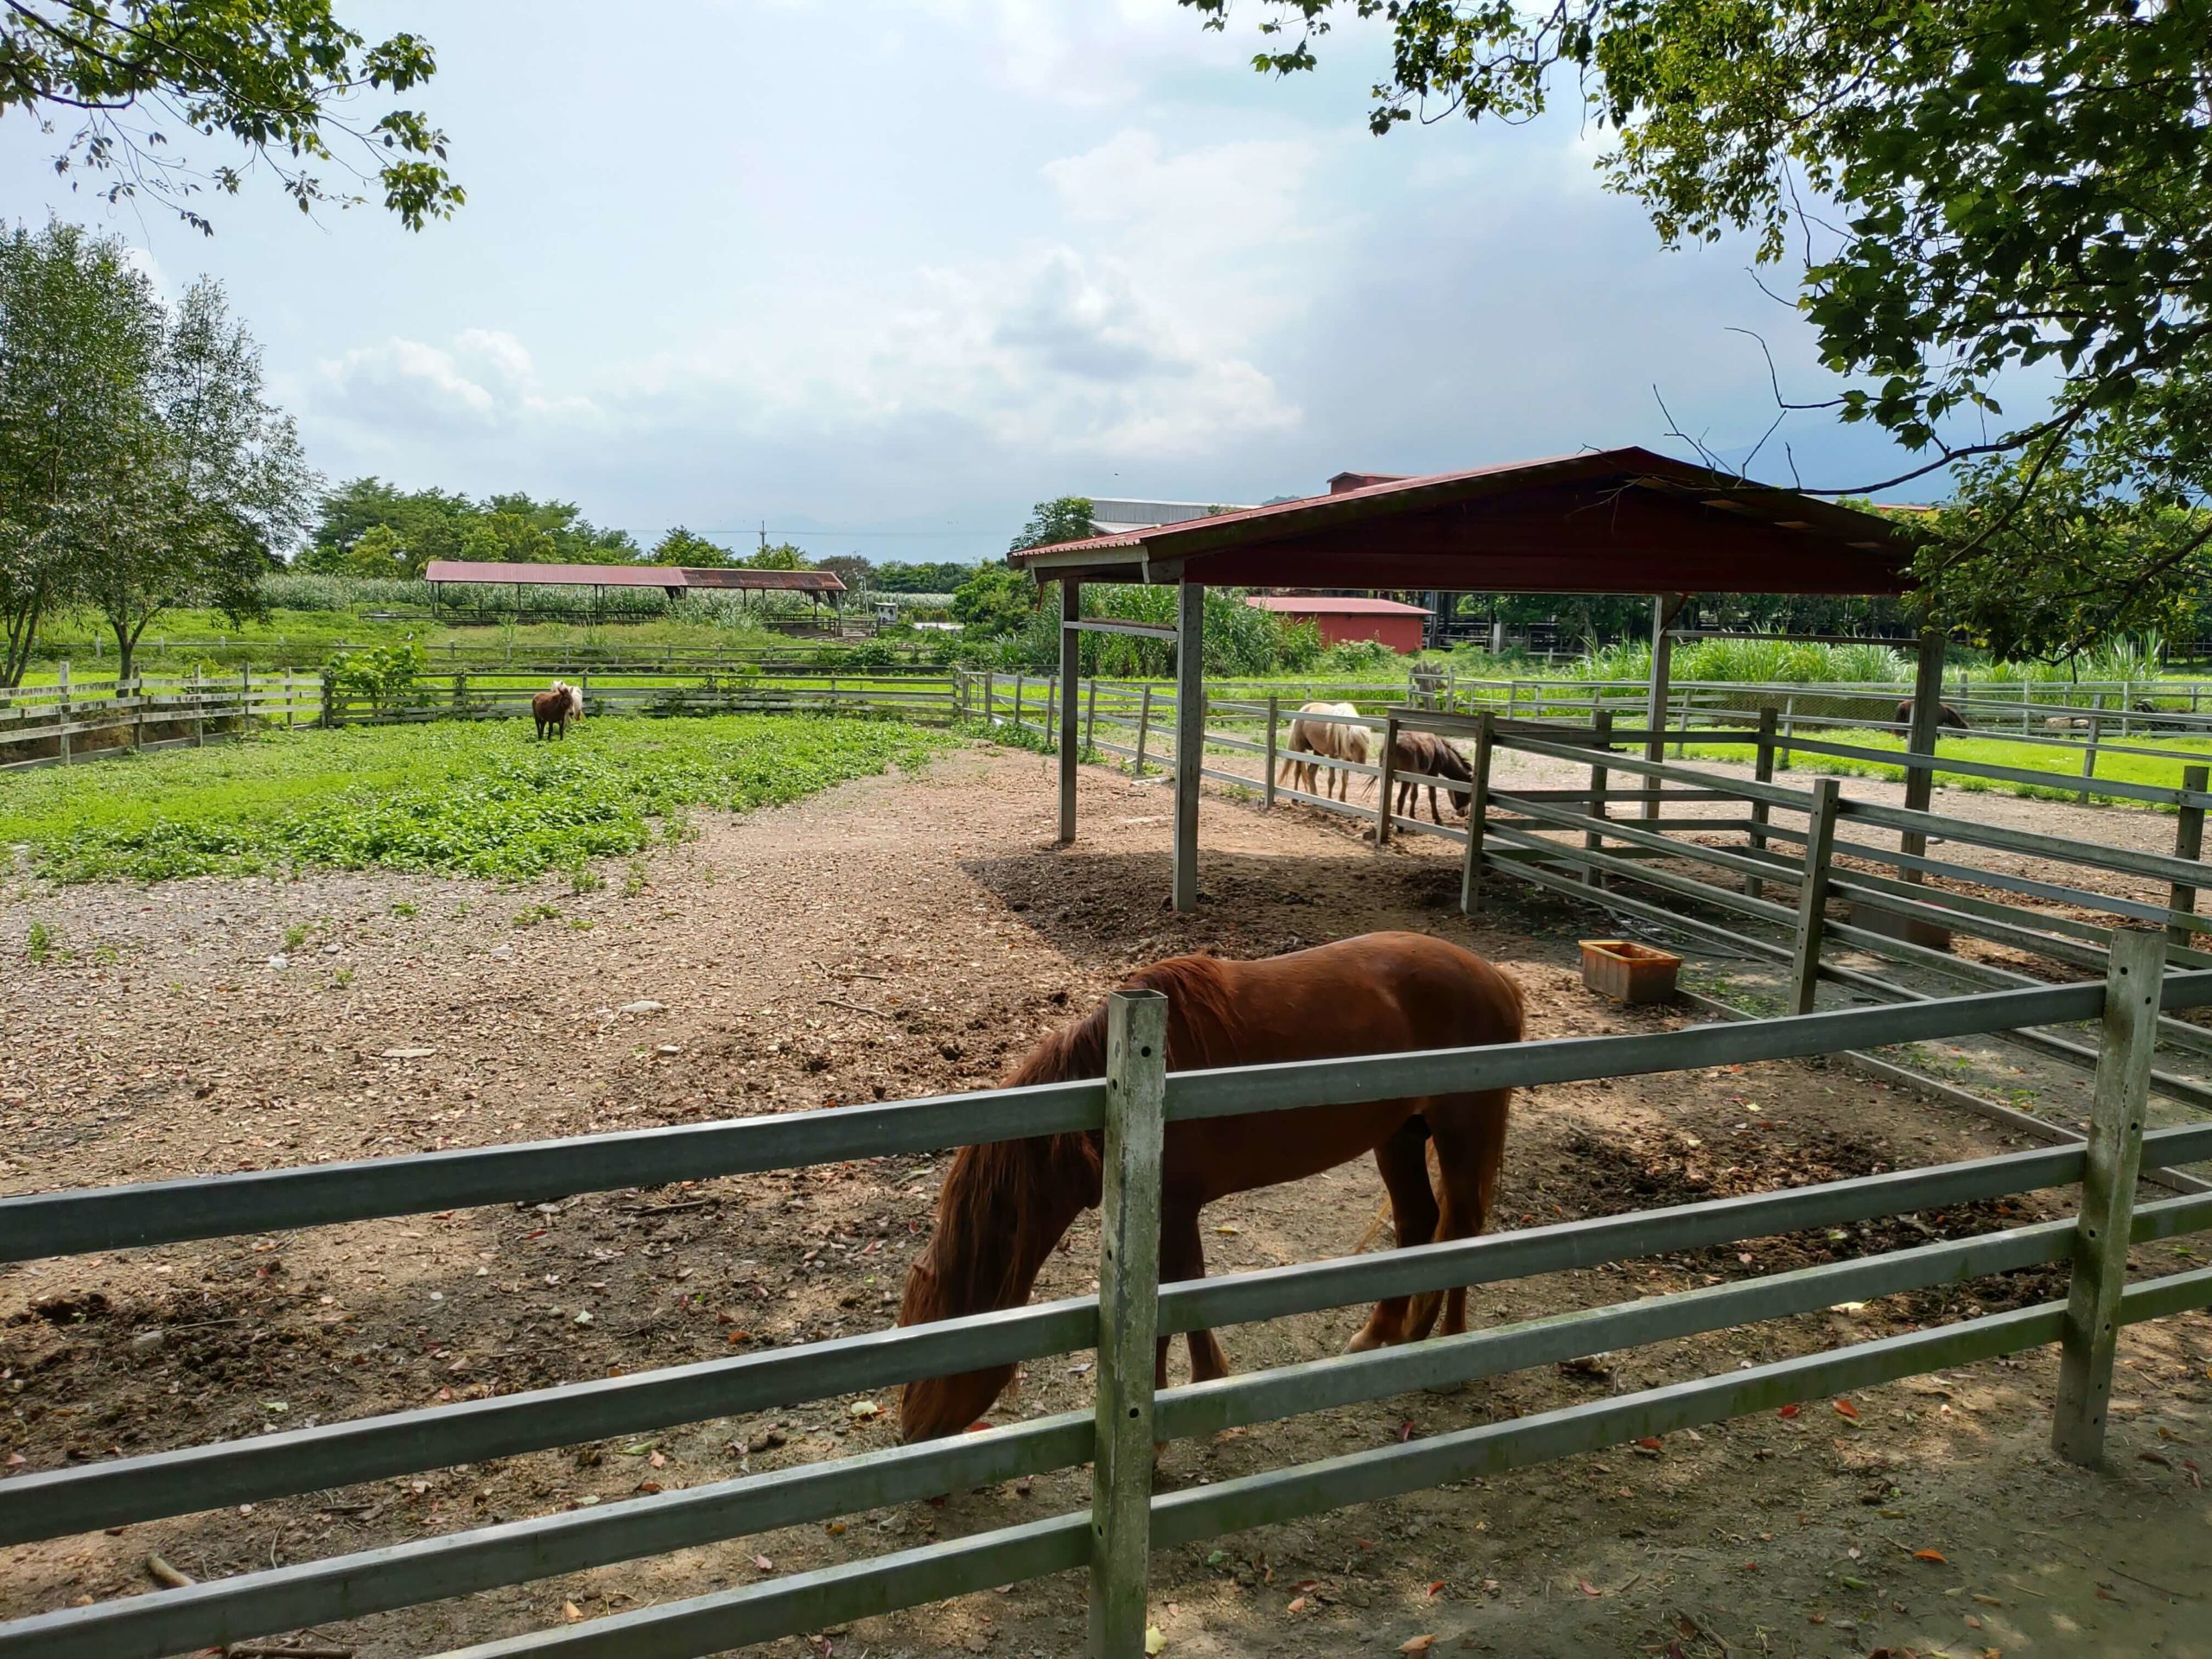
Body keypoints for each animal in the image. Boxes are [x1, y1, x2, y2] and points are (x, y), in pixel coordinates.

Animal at [893, 938, 1522, 1442]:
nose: (911, 1433)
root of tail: (1497, 980)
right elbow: (1186, 1290)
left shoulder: (1173, 1208)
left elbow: (1176, 1295)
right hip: (1398, 1136)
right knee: (1418, 1223)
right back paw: (1385, 1335)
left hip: (1462, 1133)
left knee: (1461, 1228)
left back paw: (1446, 1351)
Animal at [1013, 448, 1929, 915]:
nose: (1464, 814)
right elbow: (1384, 793)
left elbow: (1394, 795)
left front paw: (1397, 828)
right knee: (1306, 772)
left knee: (1316, 774)